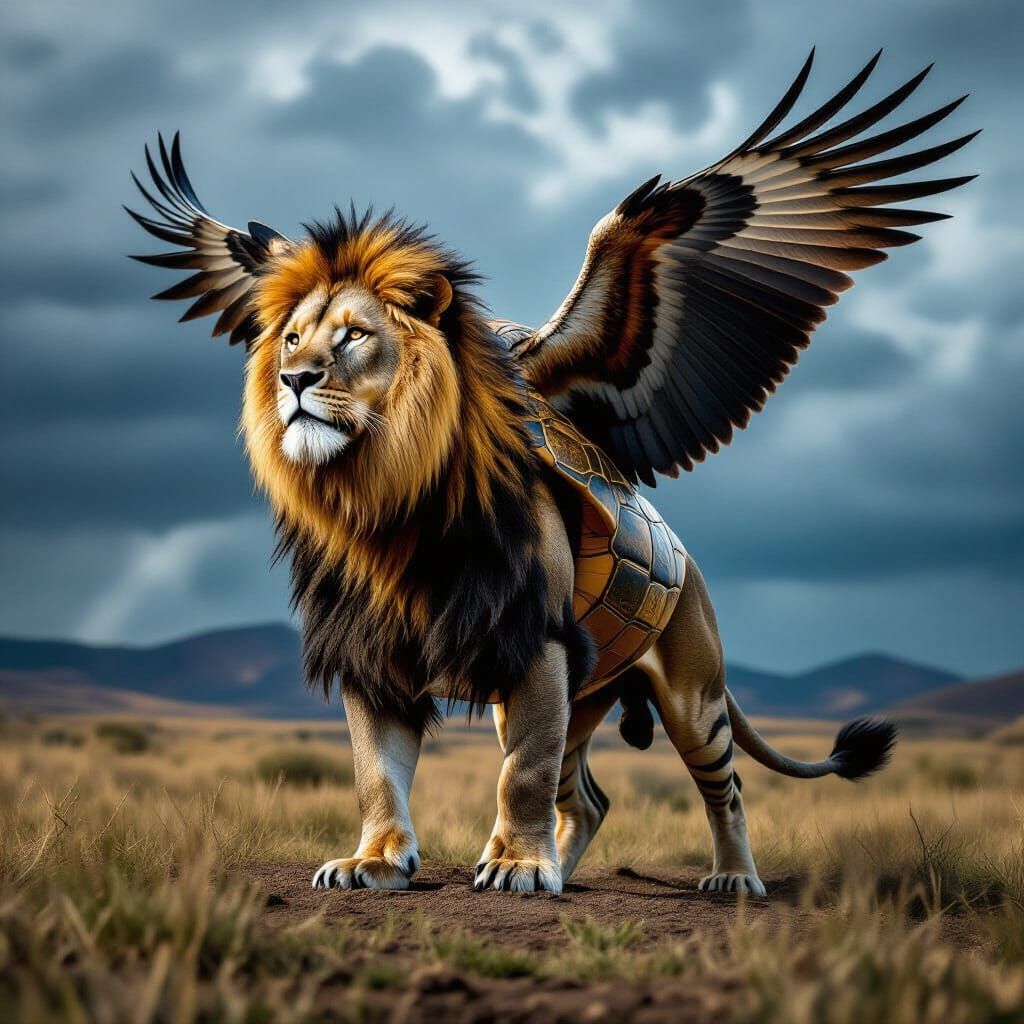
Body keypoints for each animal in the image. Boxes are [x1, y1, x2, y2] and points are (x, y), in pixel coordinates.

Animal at [127, 51, 975, 895]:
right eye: (291, 335)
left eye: (354, 336)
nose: (294, 379)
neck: (389, 500)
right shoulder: (373, 652)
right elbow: (378, 774)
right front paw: (376, 861)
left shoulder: (536, 640)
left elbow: (521, 773)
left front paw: (517, 867)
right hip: (587, 691)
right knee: (589, 797)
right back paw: (565, 865)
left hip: (693, 699)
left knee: (721, 788)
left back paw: (731, 878)